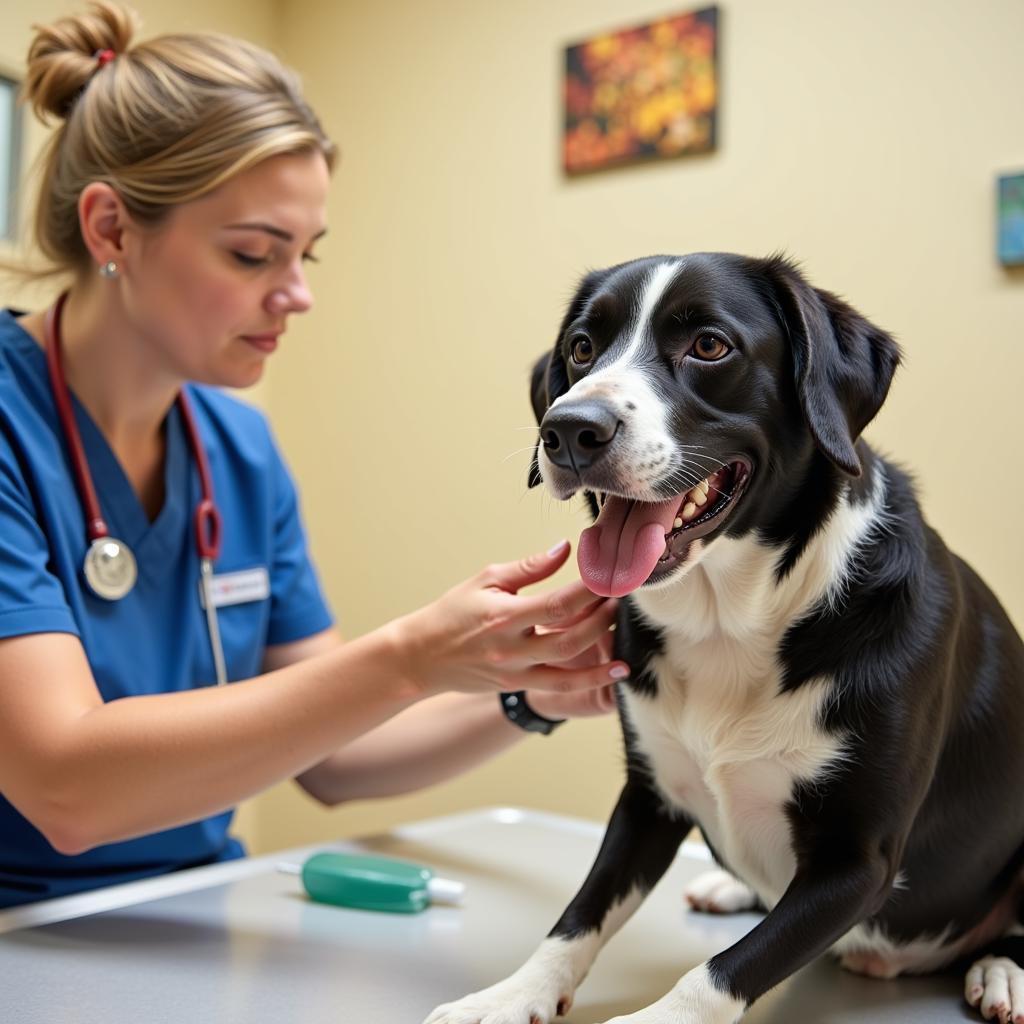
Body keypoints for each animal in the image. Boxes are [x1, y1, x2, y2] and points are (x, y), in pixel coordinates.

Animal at [423, 249, 1024, 1024]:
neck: (730, 620)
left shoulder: (859, 859)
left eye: (709, 345)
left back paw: (1002, 970)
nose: (569, 430)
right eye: (582, 349)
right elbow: (579, 915)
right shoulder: (647, 797)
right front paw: (512, 994)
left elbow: (722, 972)